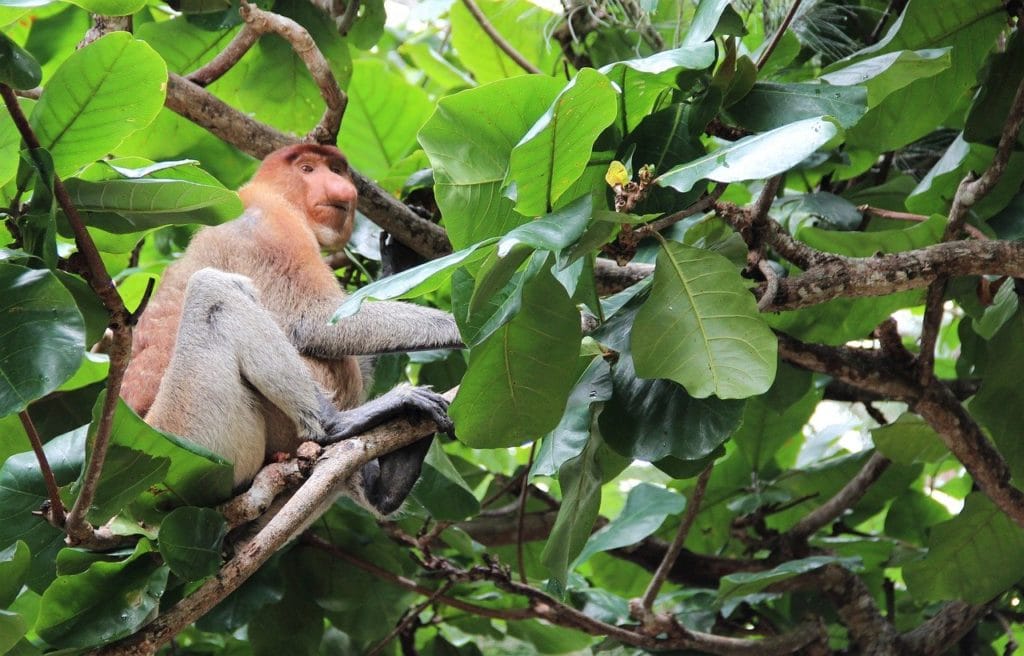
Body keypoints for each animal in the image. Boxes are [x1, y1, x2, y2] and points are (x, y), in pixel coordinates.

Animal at [122, 144, 463, 515]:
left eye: (336, 170)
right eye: (308, 169)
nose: (343, 190)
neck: (275, 195)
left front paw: (400, 257)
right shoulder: (270, 226)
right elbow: (314, 321)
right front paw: (460, 326)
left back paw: (387, 487)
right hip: (188, 441)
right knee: (213, 291)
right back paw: (339, 424)